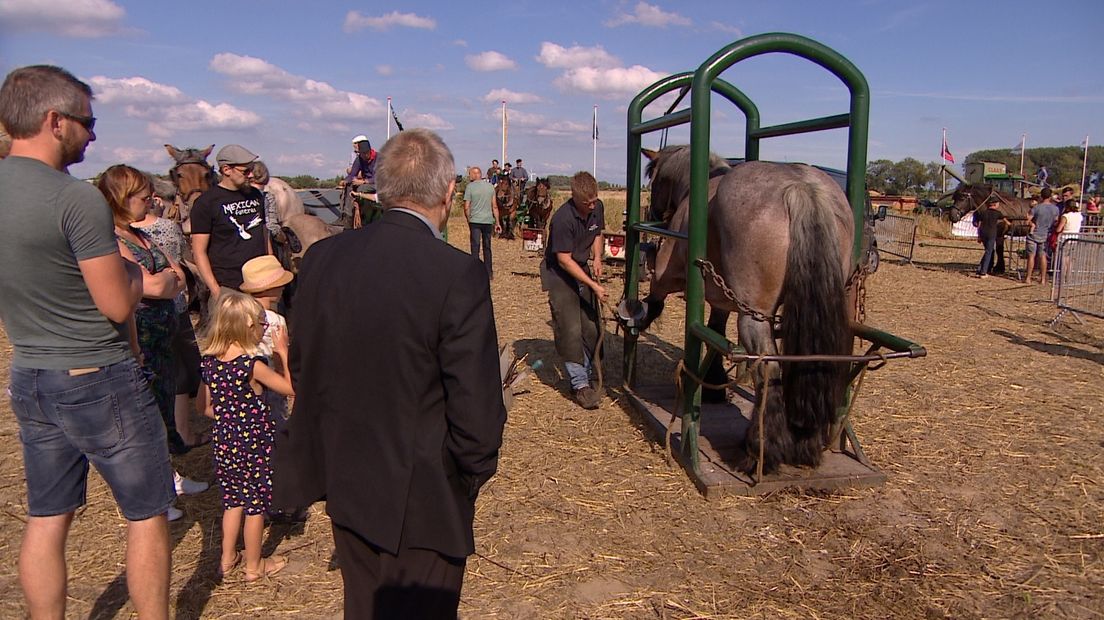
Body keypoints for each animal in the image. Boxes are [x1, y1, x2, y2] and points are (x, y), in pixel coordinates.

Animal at [631, 144, 852, 472]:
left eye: (654, 180)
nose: (657, 214)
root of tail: (799, 189)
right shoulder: (722, 299)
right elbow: (715, 331)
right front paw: (714, 383)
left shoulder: (666, 274)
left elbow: (657, 297)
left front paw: (638, 315)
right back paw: (805, 443)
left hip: (753, 317)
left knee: (768, 368)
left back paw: (761, 449)